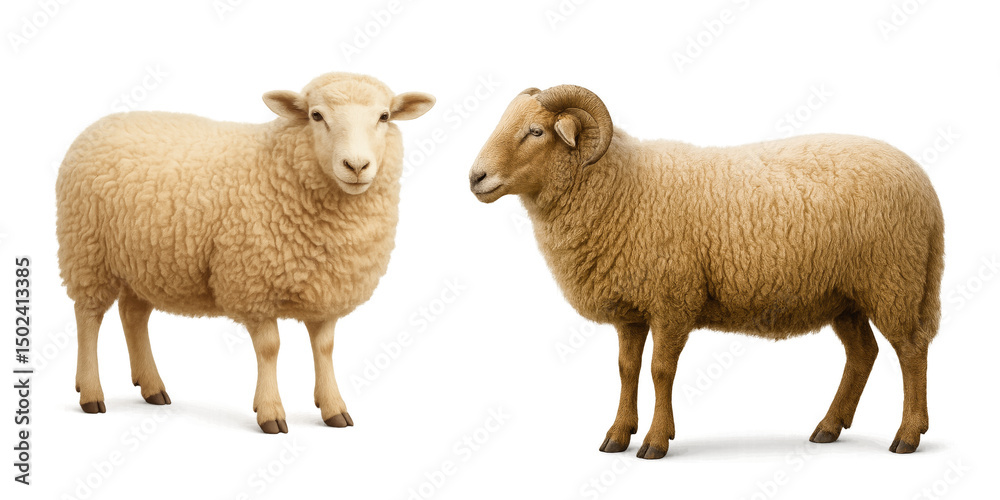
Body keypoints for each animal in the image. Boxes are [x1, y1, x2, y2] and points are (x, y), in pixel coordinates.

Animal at [56, 72, 435, 433]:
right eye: (316, 115)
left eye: (384, 116)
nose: (356, 166)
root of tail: (100, 124)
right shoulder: (253, 285)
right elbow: (270, 348)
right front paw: (270, 412)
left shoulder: (326, 289)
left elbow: (324, 348)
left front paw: (333, 408)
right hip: (87, 252)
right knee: (88, 318)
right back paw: (91, 392)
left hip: (144, 263)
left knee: (133, 316)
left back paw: (151, 387)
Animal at [468, 85, 944, 458]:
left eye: (536, 132)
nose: (476, 177)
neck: (618, 186)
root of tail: (924, 184)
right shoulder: (631, 310)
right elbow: (626, 369)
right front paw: (618, 434)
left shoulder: (672, 299)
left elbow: (660, 370)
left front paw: (656, 441)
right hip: (845, 296)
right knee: (864, 353)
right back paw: (829, 427)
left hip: (894, 280)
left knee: (912, 350)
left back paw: (907, 435)